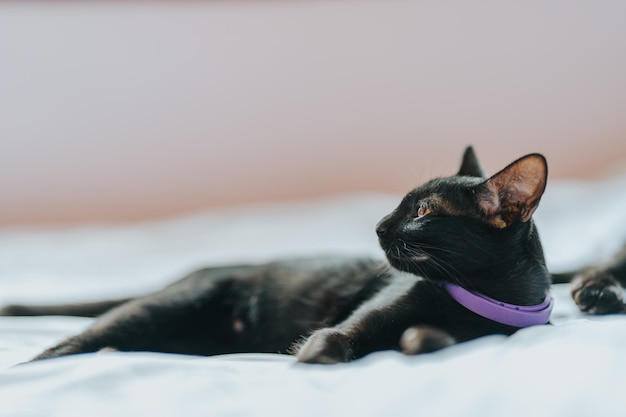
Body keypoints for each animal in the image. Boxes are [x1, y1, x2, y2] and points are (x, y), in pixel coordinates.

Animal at [3, 148, 552, 362]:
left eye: (422, 211)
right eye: (405, 203)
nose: (376, 227)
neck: (484, 301)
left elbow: (428, 340)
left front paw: (419, 339)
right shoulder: (349, 325)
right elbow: (331, 342)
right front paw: (313, 360)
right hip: (166, 306)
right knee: (63, 347)